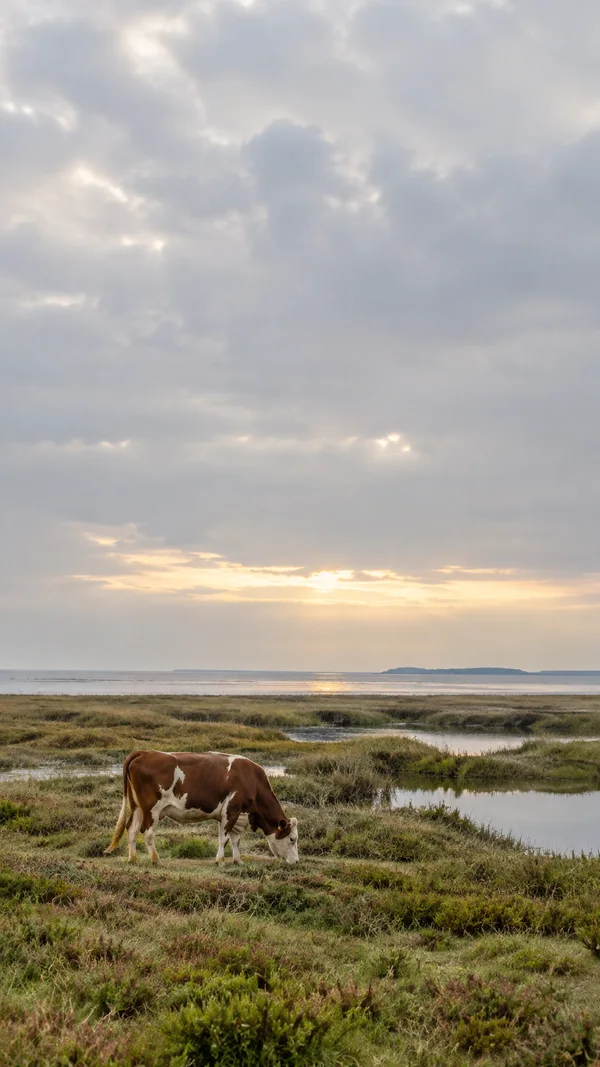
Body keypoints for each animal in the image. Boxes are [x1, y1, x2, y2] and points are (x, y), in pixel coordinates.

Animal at [104, 750, 299, 865]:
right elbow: (224, 838)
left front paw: (238, 861)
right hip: (152, 809)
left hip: (137, 806)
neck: (251, 780)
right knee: (148, 832)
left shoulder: (238, 814)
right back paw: (156, 860)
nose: (297, 861)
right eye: (292, 839)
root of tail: (144, 752)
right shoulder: (231, 809)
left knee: (132, 829)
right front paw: (220, 861)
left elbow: (235, 839)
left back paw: (132, 859)